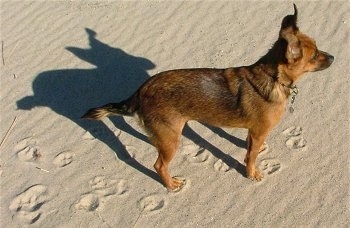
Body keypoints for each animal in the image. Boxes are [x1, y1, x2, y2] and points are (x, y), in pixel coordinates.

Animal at [82, 4, 334, 191]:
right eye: (314, 56)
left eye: (318, 49)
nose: (333, 57)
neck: (273, 77)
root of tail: (141, 90)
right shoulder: (259, 130)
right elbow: (250, 157)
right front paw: (252, 174)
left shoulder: (254, 131)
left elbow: (250, 146)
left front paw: (256, 151)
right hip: (171, 139)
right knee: (159, 165)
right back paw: (171, 185)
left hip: (168, 132)